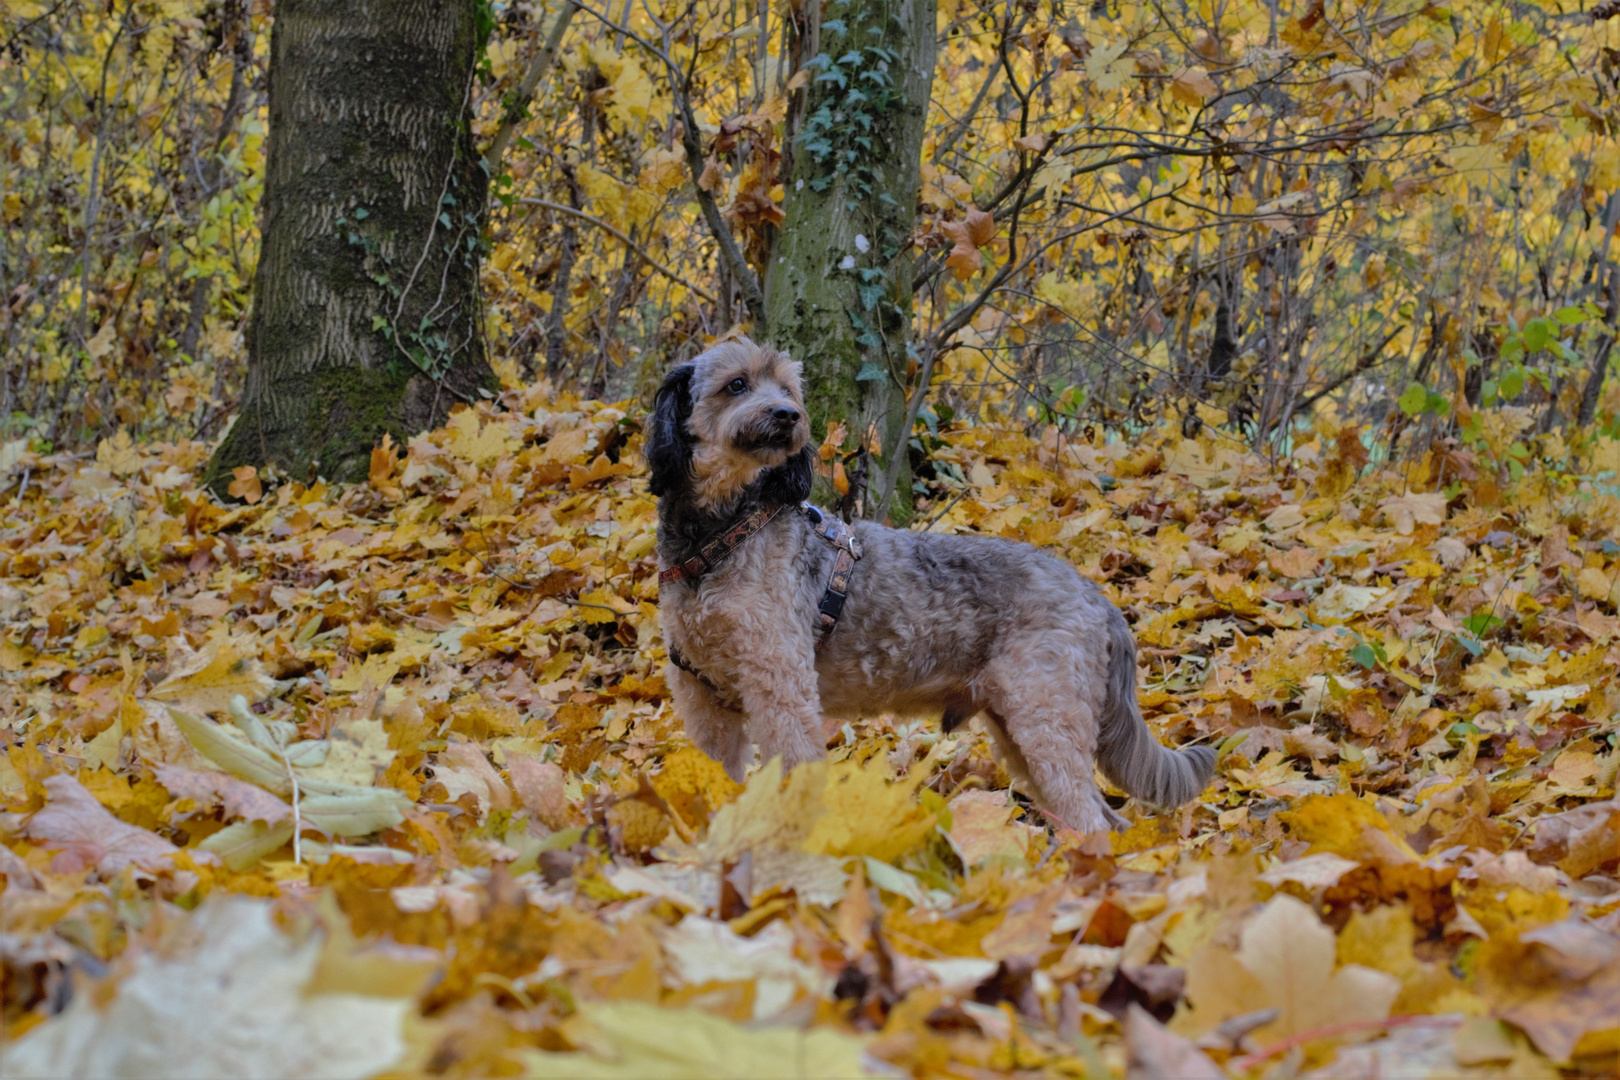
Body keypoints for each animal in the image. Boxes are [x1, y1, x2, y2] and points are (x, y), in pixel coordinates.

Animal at [644, 338, 1218, 835]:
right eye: (737, 384)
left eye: (787, 389)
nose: (788, 415)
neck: (723, 534)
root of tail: (1096, 596)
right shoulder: (703, 700)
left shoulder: (780, 689)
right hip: (1023, 732)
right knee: (1108, 819)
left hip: (1047, 722)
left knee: (1092, 816)